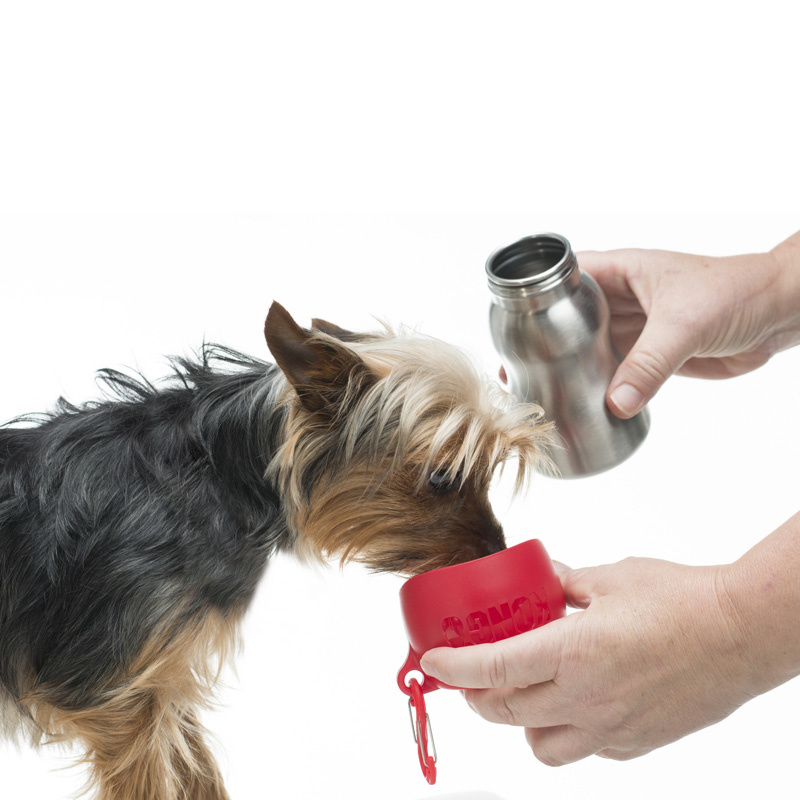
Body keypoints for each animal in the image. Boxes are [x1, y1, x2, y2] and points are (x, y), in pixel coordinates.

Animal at [0, 302, 552, 800]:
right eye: (440, 477)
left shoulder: (158, 681)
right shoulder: (110, 695)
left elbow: (195, 769)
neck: (217, 475)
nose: (497, 549)